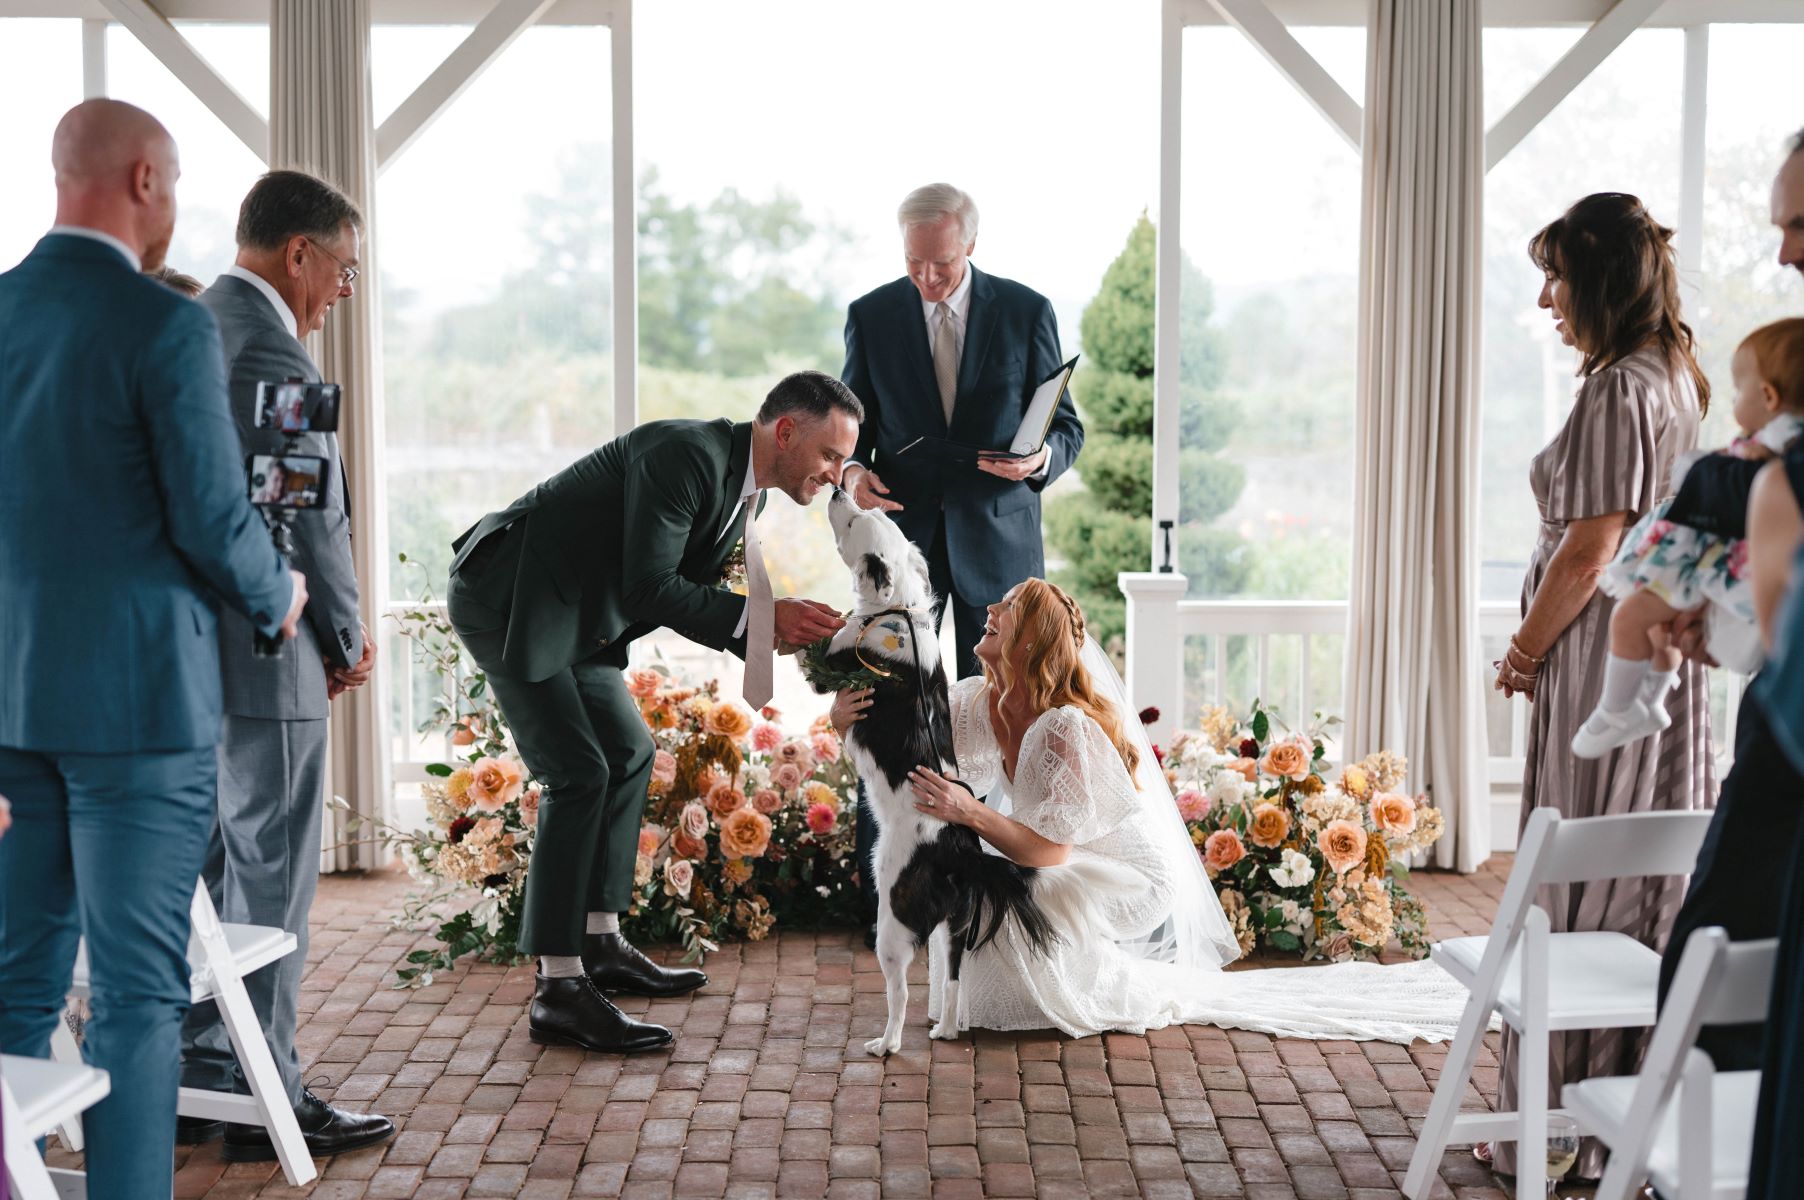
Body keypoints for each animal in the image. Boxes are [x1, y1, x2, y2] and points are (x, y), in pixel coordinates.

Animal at [815, 490, 1060, 1053]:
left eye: (855, 521)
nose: (839, 488)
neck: (896, 612)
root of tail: (957, 850)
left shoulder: (836, 655)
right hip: (956, 927)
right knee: (950, 981)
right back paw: (946, 1029)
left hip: (893, 920)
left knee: (900, 992)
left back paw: (886, 1043)